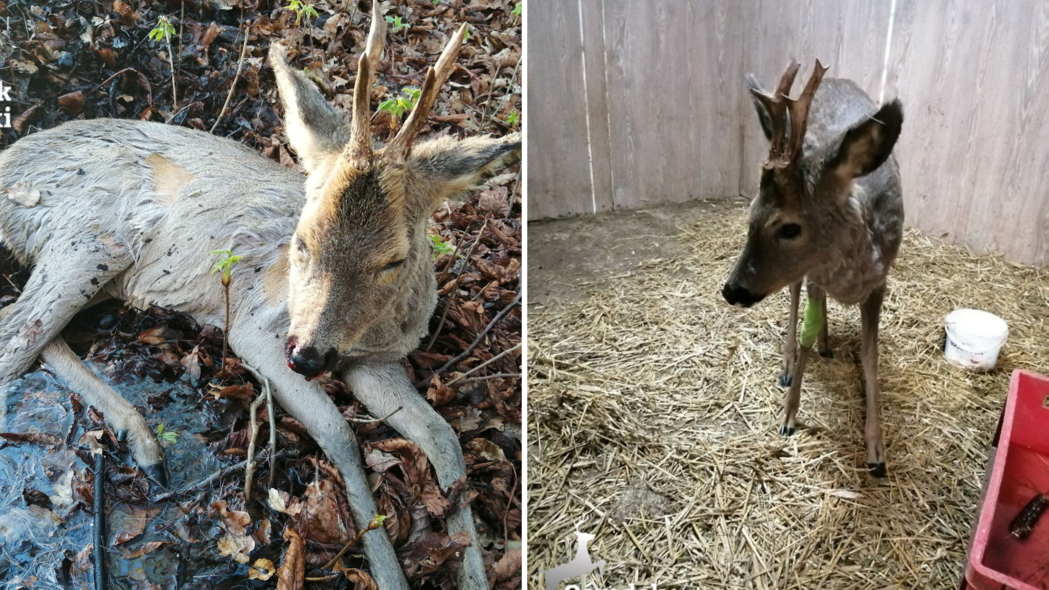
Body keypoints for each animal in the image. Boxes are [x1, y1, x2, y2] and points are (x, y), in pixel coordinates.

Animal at [0, 3, 516, 583]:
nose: (309, 357)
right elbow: (340, 434)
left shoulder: (375, 360)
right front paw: (387, 574)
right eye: (301, 239)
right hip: (91, 237)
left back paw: (145, 443)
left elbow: (443, 436)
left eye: (395, 259)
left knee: (24, 323)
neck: (368, 333)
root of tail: (9, 165)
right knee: (16, 335)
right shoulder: (255, 327)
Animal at [725, 59, 906, 474]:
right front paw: (789, 415)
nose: (731, 289)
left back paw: (826, 344)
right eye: (751, 211)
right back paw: (790, 362)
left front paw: (876, 450)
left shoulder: (880, 281)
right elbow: (805, 331)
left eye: (790, 227)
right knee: (795, 297)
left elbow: (870, 356)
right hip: (802, 278)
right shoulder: (815, 275)